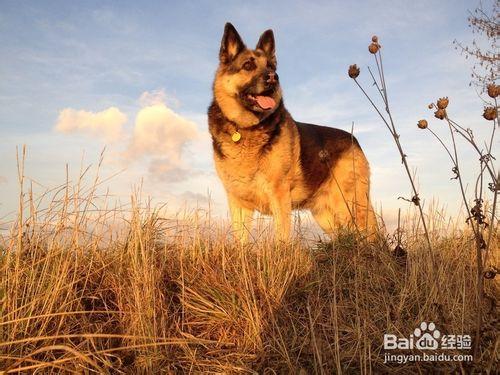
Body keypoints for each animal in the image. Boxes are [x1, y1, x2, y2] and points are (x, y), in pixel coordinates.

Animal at [207, 23, 376, 242]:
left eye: (271, 67)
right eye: (248, 65)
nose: (273, 78)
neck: (245, 128)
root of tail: (354, 140)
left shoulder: (279, 196)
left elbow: (281, 238)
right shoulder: (238, 203)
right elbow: (241, 241)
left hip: (351, 207)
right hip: (327, 216)